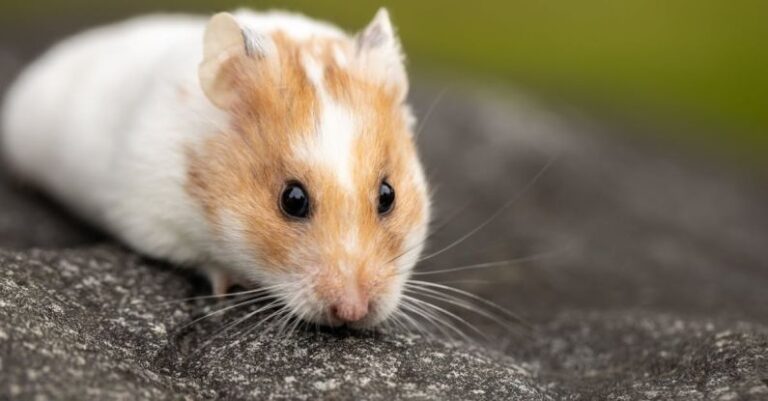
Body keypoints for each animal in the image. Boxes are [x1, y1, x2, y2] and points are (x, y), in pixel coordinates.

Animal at [1, 8, 432, 328]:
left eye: (388, 195)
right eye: (292, 200)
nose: (352, 313)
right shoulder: (150, 216)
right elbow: (207, 262)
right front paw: (233, 283)